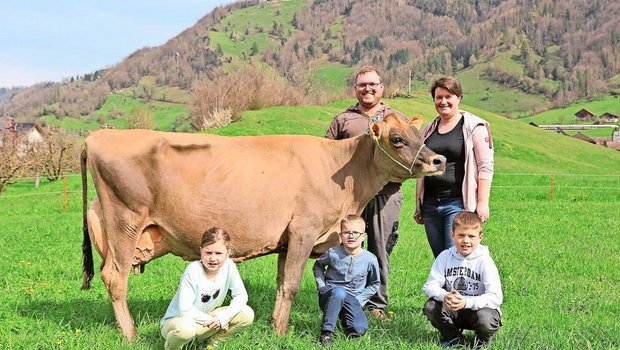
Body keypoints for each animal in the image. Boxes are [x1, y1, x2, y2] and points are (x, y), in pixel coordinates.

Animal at [81, 113, 446, 340]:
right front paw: (282, 333)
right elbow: (292, 286)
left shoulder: (287, 239)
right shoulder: (304, 231)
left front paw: (274, 326)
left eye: (419, 134)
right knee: (115, 277)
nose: (438, 160)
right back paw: (130, 333)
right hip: (124, 222)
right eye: (397, 139)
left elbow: (282, 283)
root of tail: (100, 135)